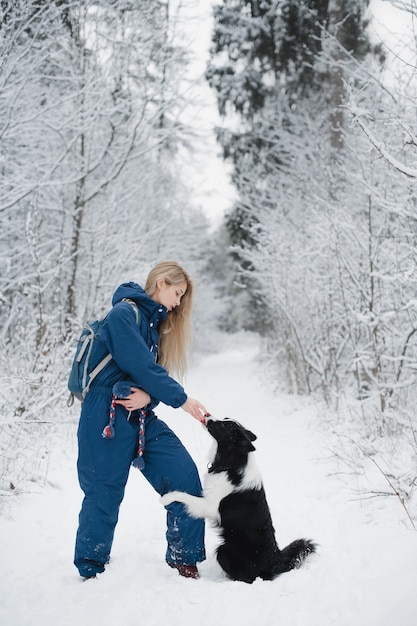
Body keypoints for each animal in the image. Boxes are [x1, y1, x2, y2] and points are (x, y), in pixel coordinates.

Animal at [160, 416, 316, 584]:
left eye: (223, 424)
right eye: (225, 419)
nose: (207, 416)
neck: (232, 463)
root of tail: (276, 561)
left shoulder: (210, 507)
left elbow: (185, 496)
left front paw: (166, 498)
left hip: (224, 550)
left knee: (245, 578)